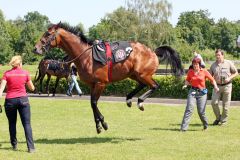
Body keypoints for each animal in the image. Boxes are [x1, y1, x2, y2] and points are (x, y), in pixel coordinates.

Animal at [33, 22, 184, 134]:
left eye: (48, 34)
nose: (36, 48)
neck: (86, 56)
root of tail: (153, 51)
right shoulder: (92, 84)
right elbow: (92, 103)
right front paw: (98, 125)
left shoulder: (101, 83)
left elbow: (94, 103)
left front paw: (103, 123)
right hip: (134, 74)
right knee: (143, 85)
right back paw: (129, 98)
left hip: (142, 74)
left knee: (154, 86)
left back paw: (140, 101)